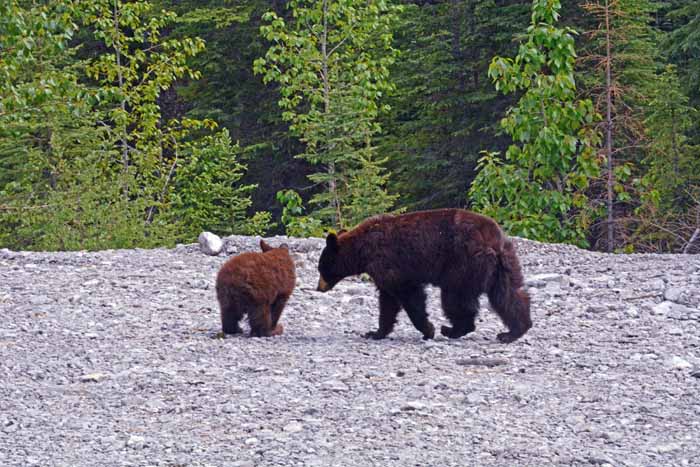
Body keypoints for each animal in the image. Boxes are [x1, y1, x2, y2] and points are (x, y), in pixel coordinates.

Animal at [318, 208, 532, 344]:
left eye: (321, 268)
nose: (318, 287)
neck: (361, 250)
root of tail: (490, 238)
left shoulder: (389, 263)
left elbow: (409, 295)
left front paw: (428, 329)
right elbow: (388, 302)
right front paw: (375, 332)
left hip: (463, 264)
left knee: (455, 298)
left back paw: (452, 329)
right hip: (504, 264)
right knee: (508, 295)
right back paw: (513, 331)